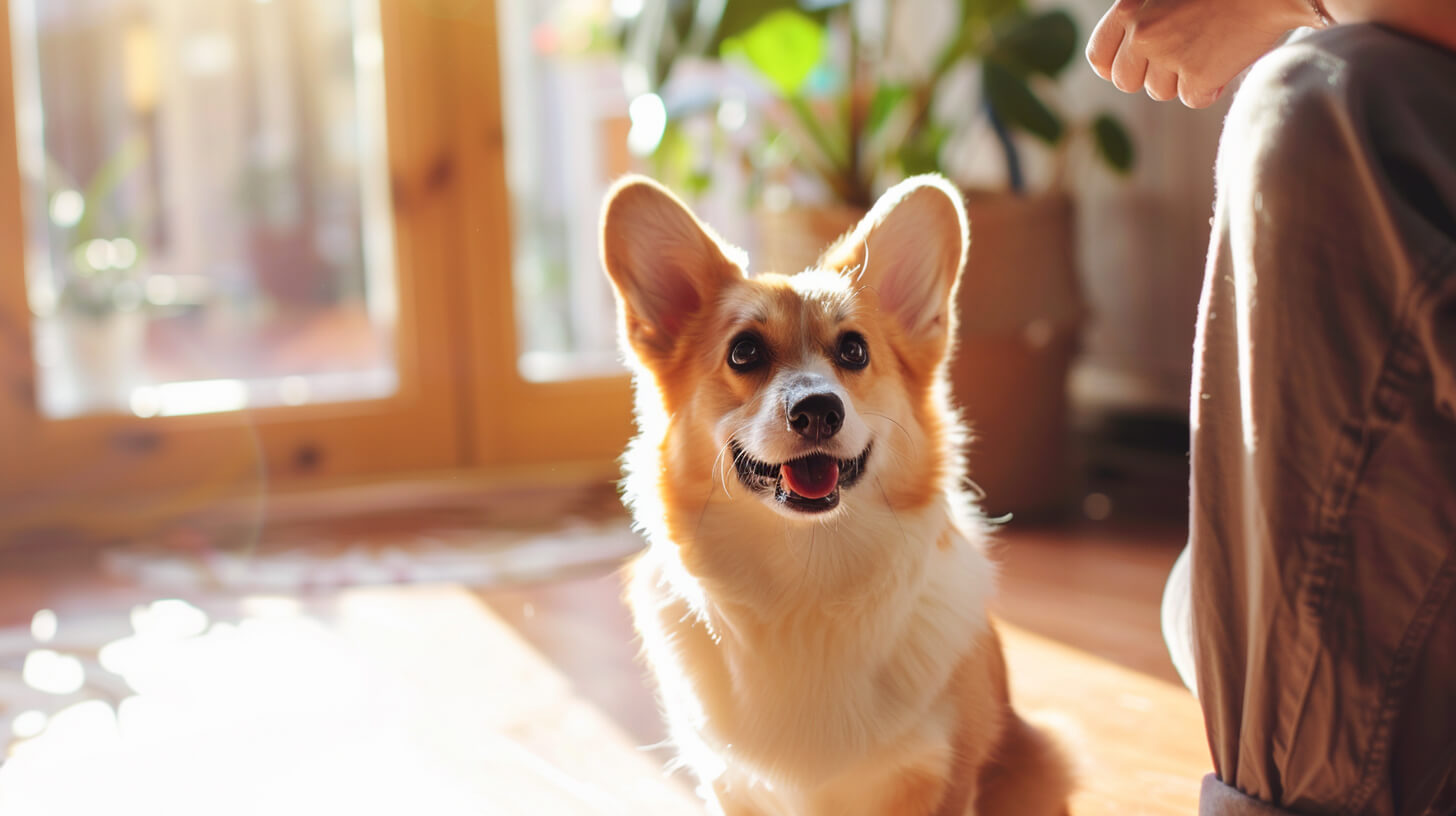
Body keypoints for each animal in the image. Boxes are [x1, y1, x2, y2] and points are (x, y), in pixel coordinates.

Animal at [599, 175, 1071, 810]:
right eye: (744, 351)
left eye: (854, 350)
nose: (818, 409)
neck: (808, 576)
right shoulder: (730, 785)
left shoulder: (944, 777)